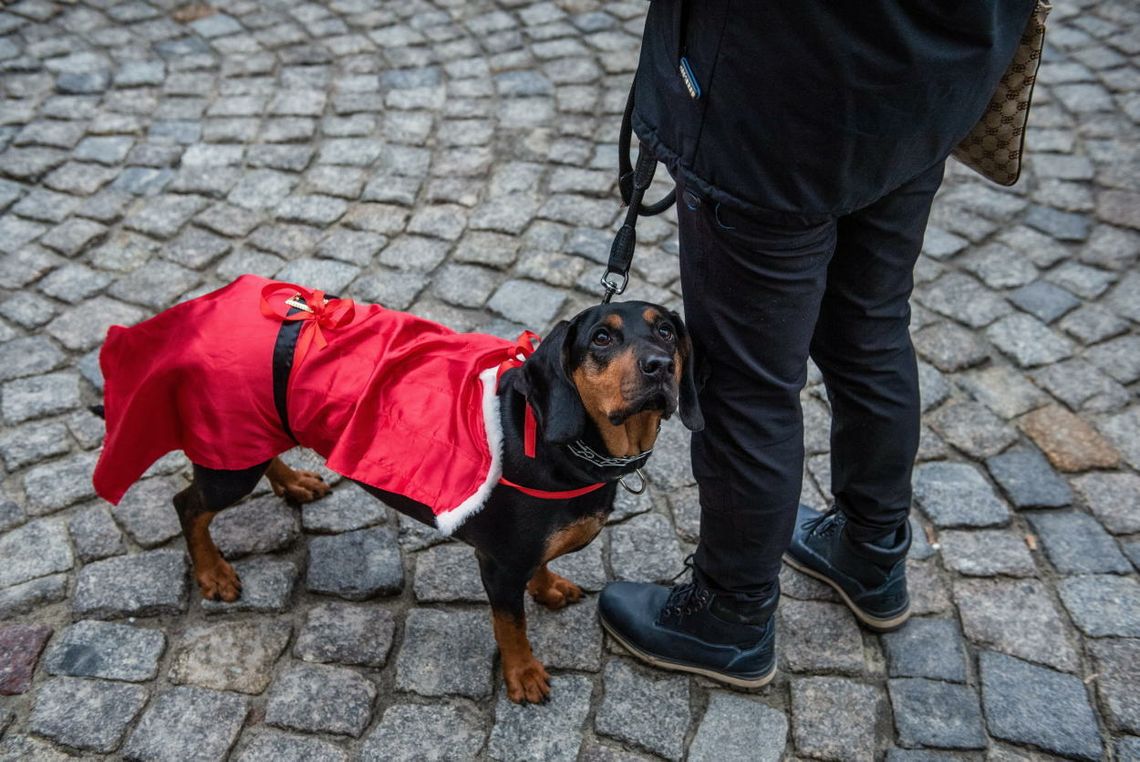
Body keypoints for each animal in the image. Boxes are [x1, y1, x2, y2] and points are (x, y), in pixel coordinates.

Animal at [95, 273, 702, 702]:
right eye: (601, 337)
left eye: (667, 330)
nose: (658, 366)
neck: (565, 445)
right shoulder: (498, 563)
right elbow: (510, 624)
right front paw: (524, 674)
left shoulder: (527, 548)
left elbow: (542, 565)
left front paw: (548, 586)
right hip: (228, 466)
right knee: (187, 505)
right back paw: (213, 572)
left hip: (254, 429)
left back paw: (294, 483)